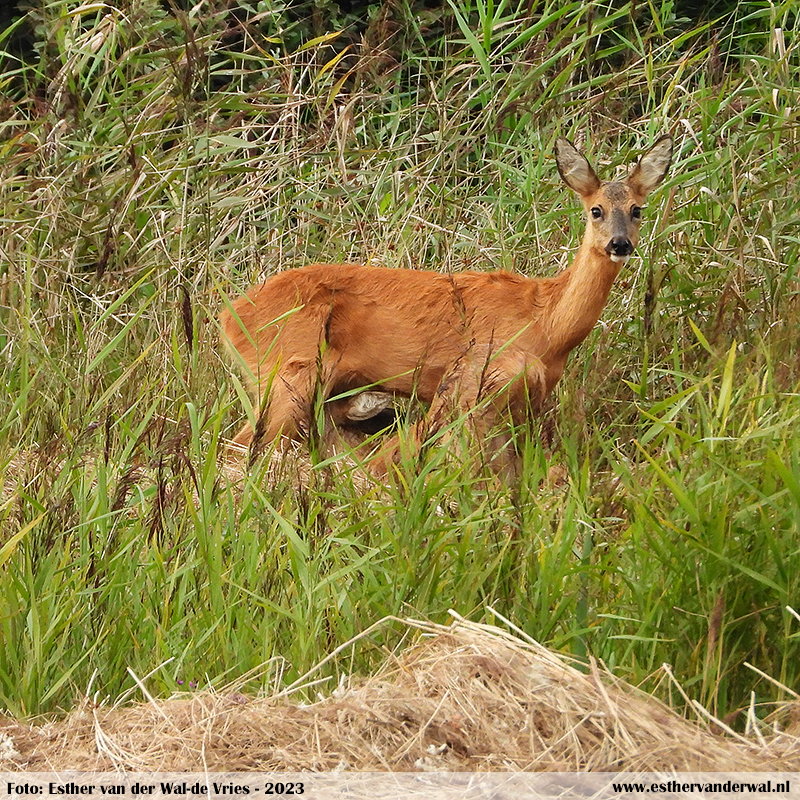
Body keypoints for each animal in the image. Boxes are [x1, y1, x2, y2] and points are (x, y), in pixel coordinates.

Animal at [222, 136, 672, 476]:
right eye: (596, 210)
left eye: (637, 210)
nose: (619, 244)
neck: (546, 321)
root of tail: (229, 317)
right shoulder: (482, 375)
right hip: (288, 373)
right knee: (238, 450)